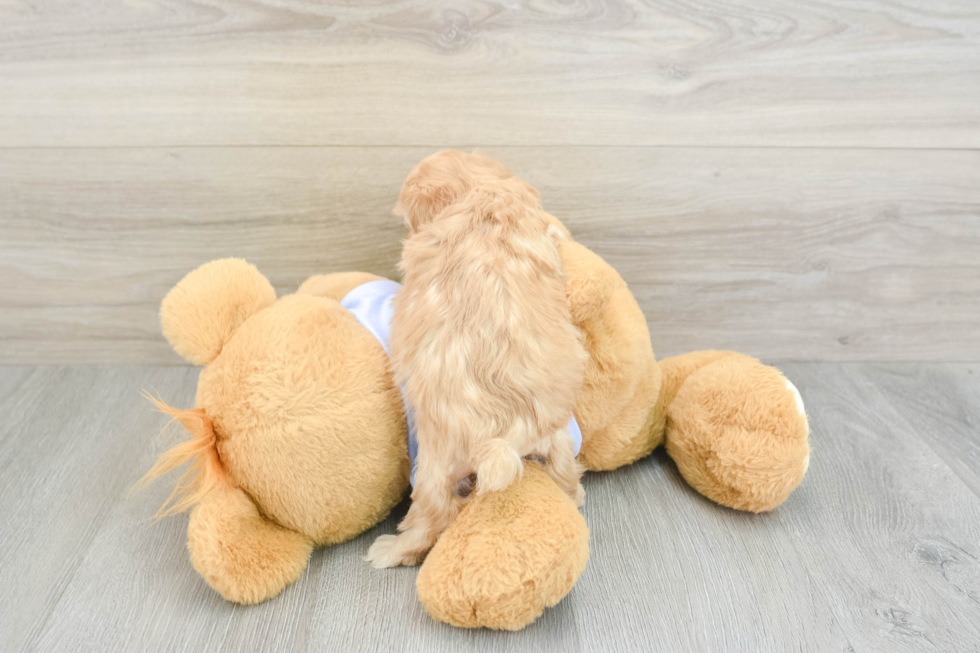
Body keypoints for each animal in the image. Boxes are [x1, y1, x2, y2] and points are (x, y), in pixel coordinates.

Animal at [366, 150, 580, 568]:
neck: (481, 191)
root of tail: (508, 434)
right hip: (558, 439)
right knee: (567, 474)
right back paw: (575, 499)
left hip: (433, 465)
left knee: (433, 516)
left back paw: (393, 550)